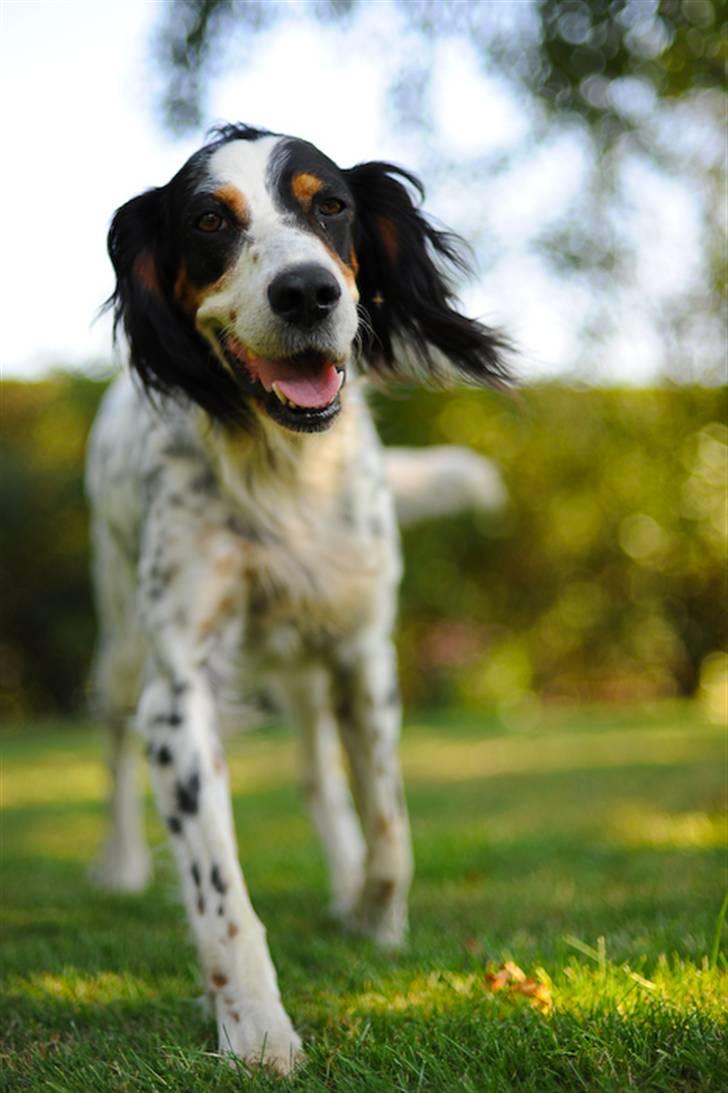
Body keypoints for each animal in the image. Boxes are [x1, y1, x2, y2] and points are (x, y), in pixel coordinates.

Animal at [86, 124, 505, 1071]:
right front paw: (254, 1027)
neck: (279, 467)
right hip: (122, 635)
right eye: (208, 220)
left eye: (333, 206)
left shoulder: (360, 651)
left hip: (307, 667)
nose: (309, 291)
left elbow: (391, 824)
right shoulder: (179, 692)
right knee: (115, 741)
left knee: (322, 778)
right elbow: (220, 893)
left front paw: (373, 915)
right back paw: (120, 864)